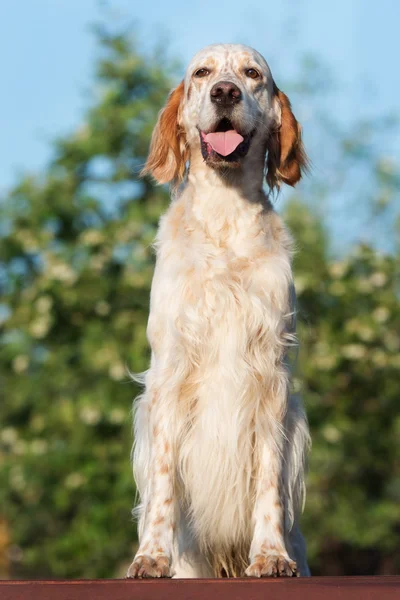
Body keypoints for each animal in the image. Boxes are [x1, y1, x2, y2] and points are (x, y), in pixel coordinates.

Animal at [126, 44, 310, 580]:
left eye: (252, 74)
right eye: (202, 73)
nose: (224, 92)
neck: (226, 219)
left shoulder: (271, 379)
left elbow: (268, 479)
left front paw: (270, 555)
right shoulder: (170, 373)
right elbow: (164, 481)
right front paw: (152, 556)